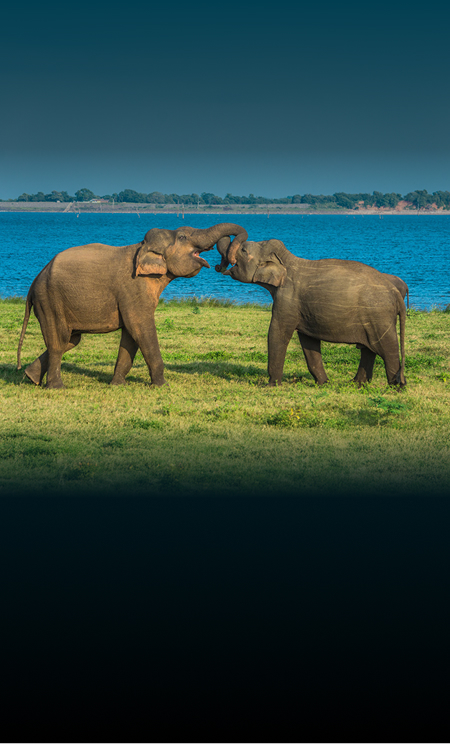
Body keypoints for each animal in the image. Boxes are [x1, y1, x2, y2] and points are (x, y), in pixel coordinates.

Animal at [17, 222, 248, 389]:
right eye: (182, 237)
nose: (221, 264)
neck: (142, 247)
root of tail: (34, 282)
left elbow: (131, 334)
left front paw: (117, 385)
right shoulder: (133, 288)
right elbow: (141, 328)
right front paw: (162, 386)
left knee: (70, 340)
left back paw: (30, 377)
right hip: (50, 300)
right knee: (59, 341)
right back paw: (56, 387)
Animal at [215, 237, 406, 387]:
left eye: (243, 250)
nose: (219, 266)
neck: (287, 260)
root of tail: (396, 294)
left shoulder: (287, 299)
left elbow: (278, 332)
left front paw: (270, 385)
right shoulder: (305, 310)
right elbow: (308, 341)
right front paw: (323, 383)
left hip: (379, 316)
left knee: (387, 348)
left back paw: (396, 387)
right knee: (368, 349)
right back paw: (356, 384)